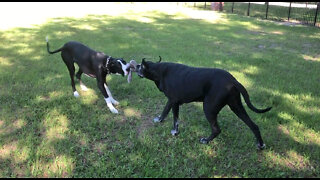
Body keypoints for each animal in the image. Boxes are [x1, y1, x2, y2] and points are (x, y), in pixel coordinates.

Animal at [136, 56, 272, 149]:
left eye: (140, 66)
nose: (135, 65)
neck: (159, 71)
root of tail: (233, 80)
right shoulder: (170, 101)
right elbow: (164, 111)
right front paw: (159, 120)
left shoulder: (174, 102)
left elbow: (175, 120)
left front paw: (175, 132)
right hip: (236, 107)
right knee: (253, 125)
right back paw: (261, 145)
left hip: (209, 108)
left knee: (217, 129)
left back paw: (206, 140)